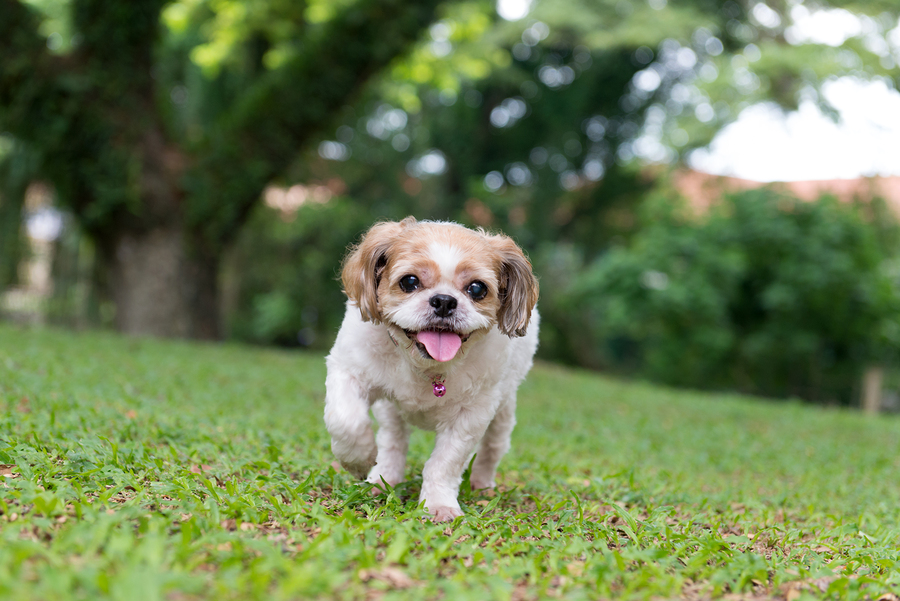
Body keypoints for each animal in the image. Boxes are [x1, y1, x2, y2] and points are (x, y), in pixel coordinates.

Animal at [324, 216, 536, 520]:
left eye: (477, 289)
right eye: (410, 281)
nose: (445, 300)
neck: (426, 366)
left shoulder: (472, 414)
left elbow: (445, 463)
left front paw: (439, 504)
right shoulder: (349, 371)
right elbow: (347, 422)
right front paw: (359, 460)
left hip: (503, 411)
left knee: (493, 448)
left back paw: (482, 484)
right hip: (390, 410)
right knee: (393, 439)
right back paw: (383, 477)